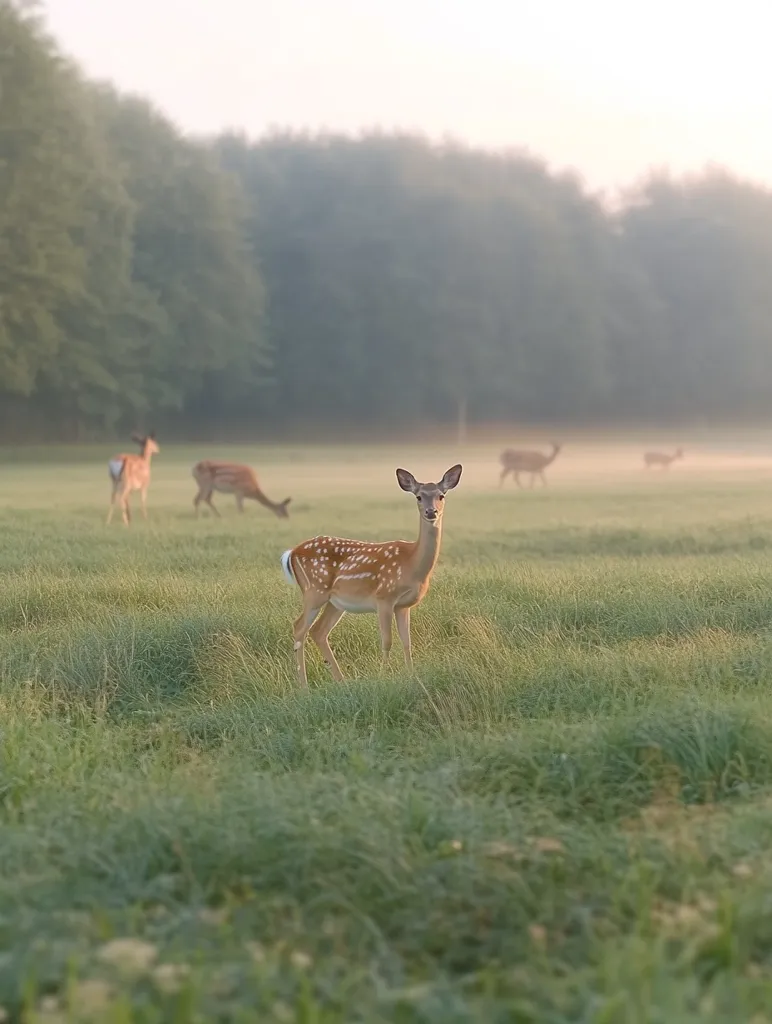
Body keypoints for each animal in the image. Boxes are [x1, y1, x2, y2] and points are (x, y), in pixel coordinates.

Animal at [281, 464, 462, 686]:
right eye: (419, 496)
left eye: (441, 495)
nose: (431, 512)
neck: (412, 564)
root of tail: (293, 552)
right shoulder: (384, 597)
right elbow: (387, 641)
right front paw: (383, 677)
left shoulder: (403, 605)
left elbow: (407, 642)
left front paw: (412, 677)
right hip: (314, 590)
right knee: (299, 627)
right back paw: (303, 685)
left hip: (335, 601)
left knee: (319, 631)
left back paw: (341, 681)